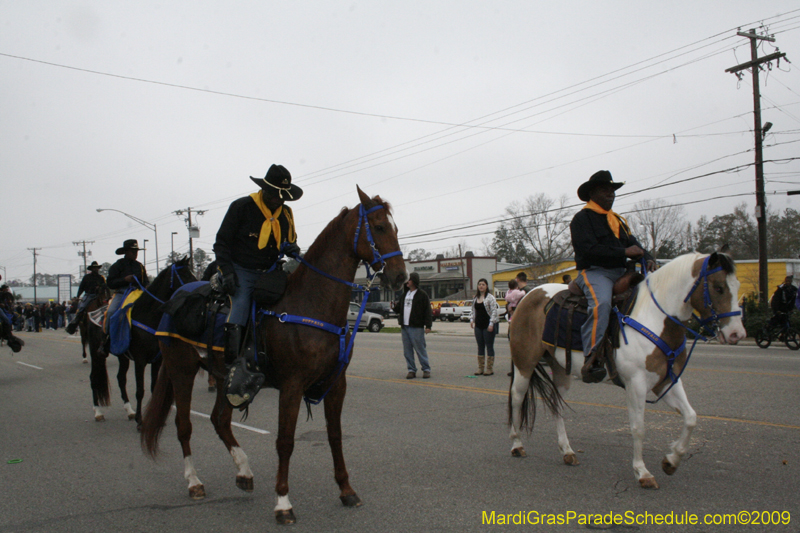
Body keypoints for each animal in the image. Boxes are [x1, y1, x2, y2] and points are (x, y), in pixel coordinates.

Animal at [138, 187, 410, 524]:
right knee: (183, 424)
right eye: (379, 226)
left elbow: (334, 435)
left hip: (224, 376)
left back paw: (244, 471)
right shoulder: (292, 386)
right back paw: (194, 482)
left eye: (394, 227)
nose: (400, 277)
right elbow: (285, 441)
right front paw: (283, 502)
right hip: (181, 369)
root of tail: (175, 298)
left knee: (219, 420)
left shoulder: (336, 384)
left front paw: (346, 490)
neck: (310, 303)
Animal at [510, 251, 748, 488]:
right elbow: (638, 428)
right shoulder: (636, 383)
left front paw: (671, 461)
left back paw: (567, 451)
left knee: (557, 403)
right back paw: (517, 445)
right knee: (517, 397)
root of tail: (529, 295)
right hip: (525, 364)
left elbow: (691, 417)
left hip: (561, 370)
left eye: (737, 284)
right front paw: (642, 472)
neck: (655, 318)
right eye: (719, 287)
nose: (737, 334)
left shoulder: (666, 381)